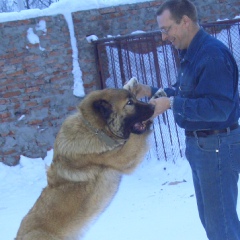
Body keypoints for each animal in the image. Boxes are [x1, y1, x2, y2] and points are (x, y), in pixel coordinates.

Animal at [15, 87, 154, 239]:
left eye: (135, 98)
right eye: (129, 103)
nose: (153, 107)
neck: (95, 130)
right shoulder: (124, 156)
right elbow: (136, 138)